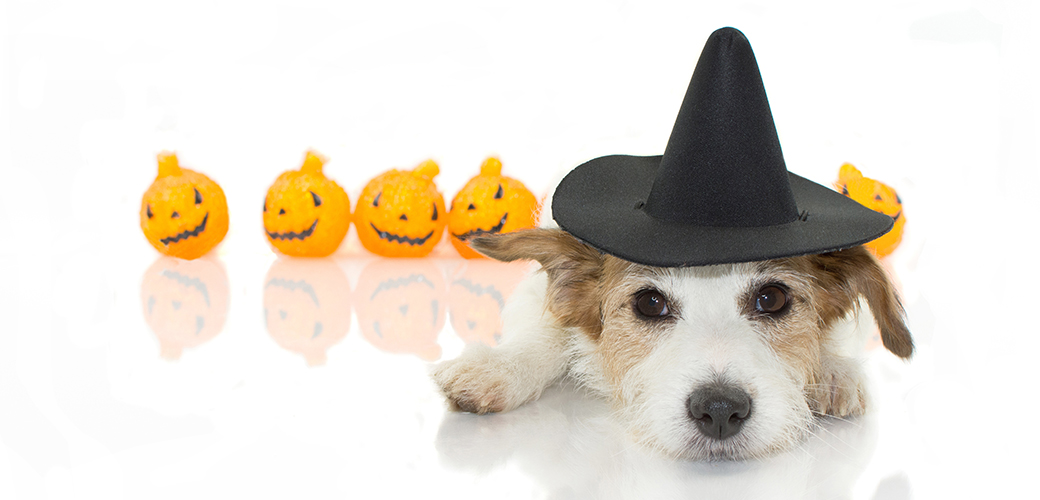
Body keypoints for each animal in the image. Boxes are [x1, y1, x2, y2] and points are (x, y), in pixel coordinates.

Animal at [430, 224, 911, 457]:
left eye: (771, 298)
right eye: (650, 303)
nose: (720, 410)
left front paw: (833, 368)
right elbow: (550, 331)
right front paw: (498, 368)